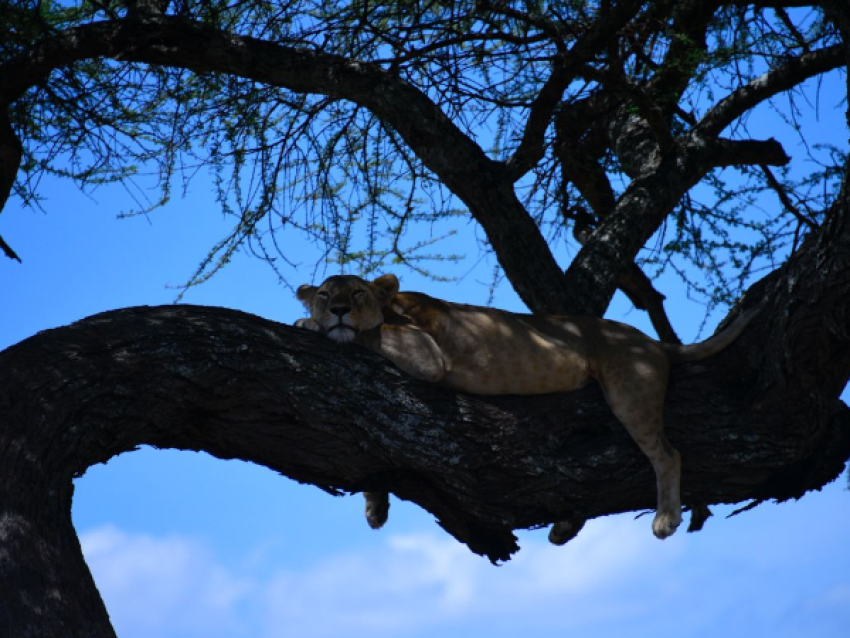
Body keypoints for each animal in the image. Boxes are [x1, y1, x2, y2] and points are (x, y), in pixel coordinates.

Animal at [294, 276, 756, 544]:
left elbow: (364, 334)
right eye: (324, 294)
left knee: (668, 454)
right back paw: (565, 527)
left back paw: (665, 518)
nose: (336, 310)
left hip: (631, 392)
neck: (395, 306)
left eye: (356, 293)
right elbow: (375, 456)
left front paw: (310, 325)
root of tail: (651, 341)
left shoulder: (427, 355)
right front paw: (375, 507)